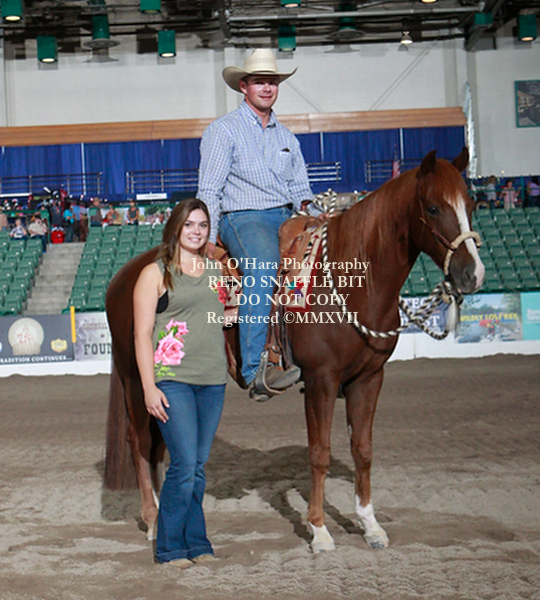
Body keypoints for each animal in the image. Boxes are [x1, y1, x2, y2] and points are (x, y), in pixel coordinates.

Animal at [104, 147, 484, 550]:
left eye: (471, 203)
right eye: (433, 208)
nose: (473, 273)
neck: (351, 280)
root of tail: (123, 276)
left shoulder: (369, 378)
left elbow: (362, 449)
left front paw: (370, 525)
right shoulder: (320, 380)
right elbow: (319, 454)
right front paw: (319, 531)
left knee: (161, 446)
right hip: (136, 378)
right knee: (140, 442)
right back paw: (153, 521)